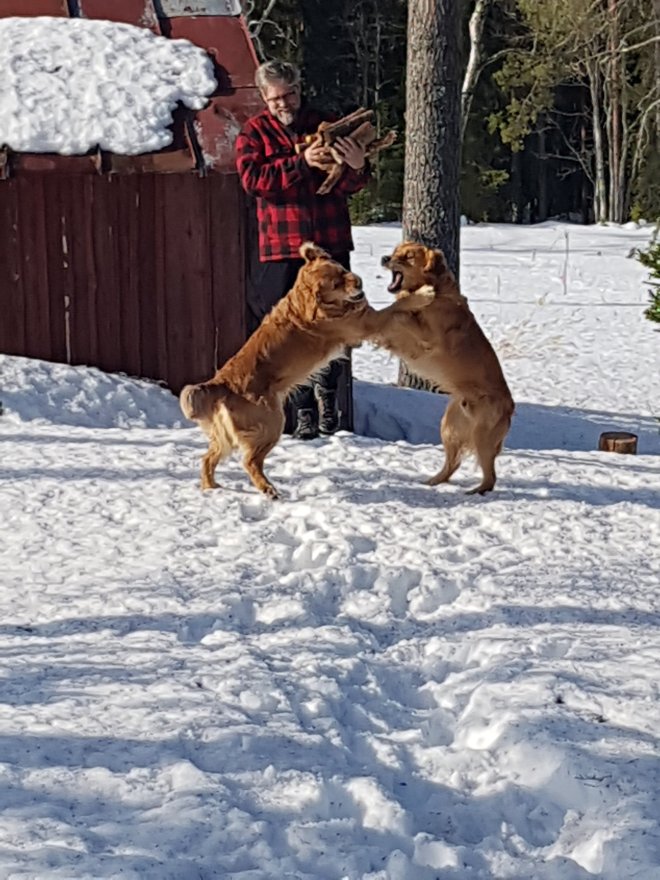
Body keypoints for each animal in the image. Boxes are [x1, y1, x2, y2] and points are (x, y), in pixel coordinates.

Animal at [180, 242, 374, 498]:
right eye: (335, 284)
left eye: (342, 270)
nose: (359, 282)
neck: (303, 301)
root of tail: (221, 383)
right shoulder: (351, 326)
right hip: (271, 423)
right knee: (250, 461)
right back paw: (268, 489)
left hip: (226, 437)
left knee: (207, 458)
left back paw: (211, 487)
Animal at [372, 242, 515, 494]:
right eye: (396, 250)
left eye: (409, 256)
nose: (385, 258)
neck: (436, 290)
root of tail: (511, 407)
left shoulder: (426, 336)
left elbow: (399, 311)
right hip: (449, 427)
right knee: (452, 464)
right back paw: (432, 482)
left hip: (482, 436)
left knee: (490, 477)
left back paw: (475, 491)